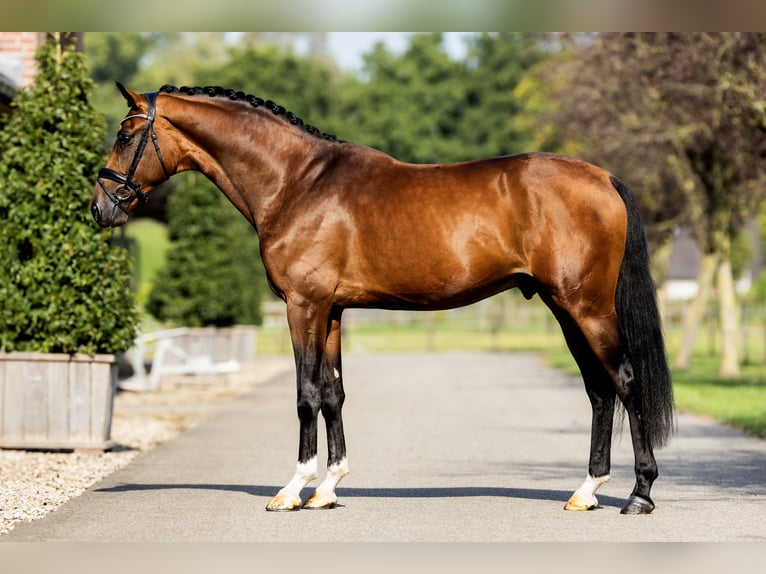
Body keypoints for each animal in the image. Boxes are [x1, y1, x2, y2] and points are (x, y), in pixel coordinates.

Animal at [93, 82, 676, 516]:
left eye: (126, 133)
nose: (101, 207)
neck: (297, 183)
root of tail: (603, 177)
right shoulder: (330, 311)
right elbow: (333, 394)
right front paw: (328, 489)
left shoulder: (302, 306)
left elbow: (306, 394)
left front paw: (292, 489)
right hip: (565, 308)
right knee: (599, 391)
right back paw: (586, 491)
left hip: (587, 307)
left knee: (625, 382)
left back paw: (639, 494)